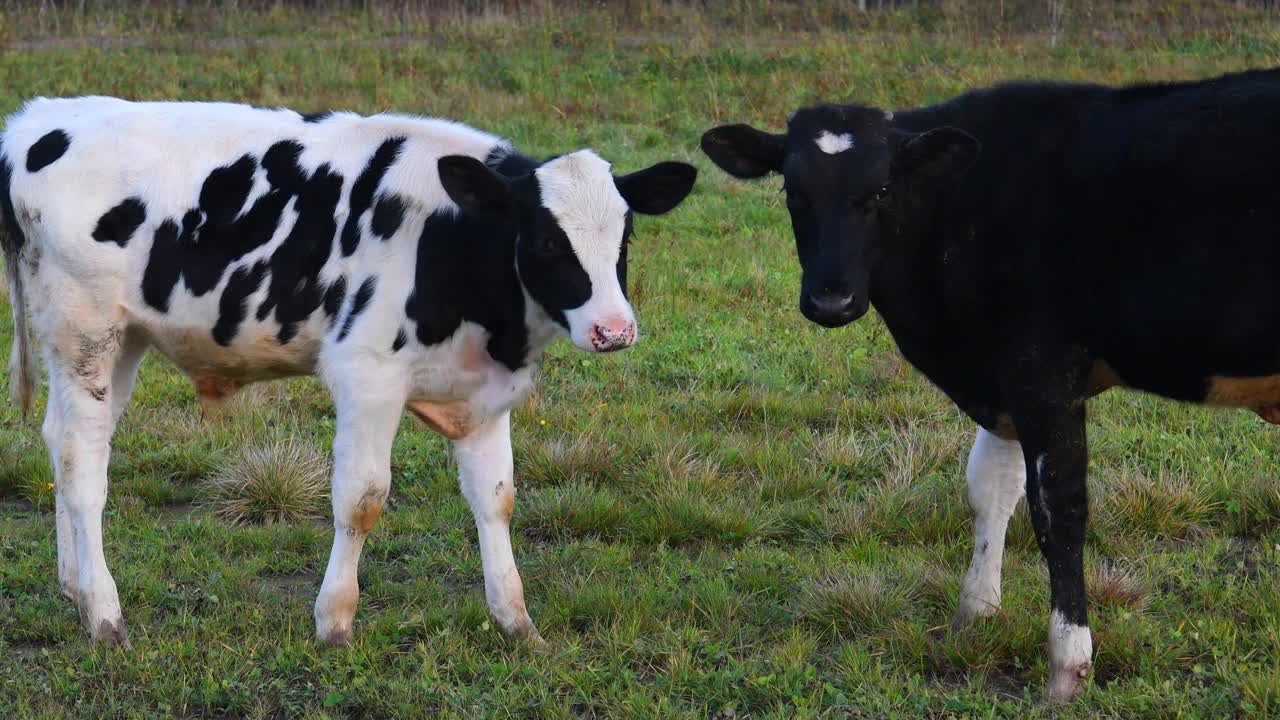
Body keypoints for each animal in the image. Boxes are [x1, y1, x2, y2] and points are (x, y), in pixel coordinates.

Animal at [0, 94, 696, 645]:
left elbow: (497, 501)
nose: (614, 329)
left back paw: (73, 587)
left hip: (122, 341)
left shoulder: (484, 394)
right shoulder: (368, 378)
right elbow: (361, 499)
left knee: (63, 440)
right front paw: (334, 621)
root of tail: (39, 117)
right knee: (82, 462)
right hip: (85, 332)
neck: (449, 244)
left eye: (625, 238)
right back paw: (103, 614)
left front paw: (517, 623)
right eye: (548, 240)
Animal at [706, 68, 1280, 702]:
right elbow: (990, 487)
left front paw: (1068, 664)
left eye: (881, 191)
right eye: (792, 192)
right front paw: (976, 612)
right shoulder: (1003, 377)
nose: (831, 301)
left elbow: (1058, 508)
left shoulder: (1040, 368)